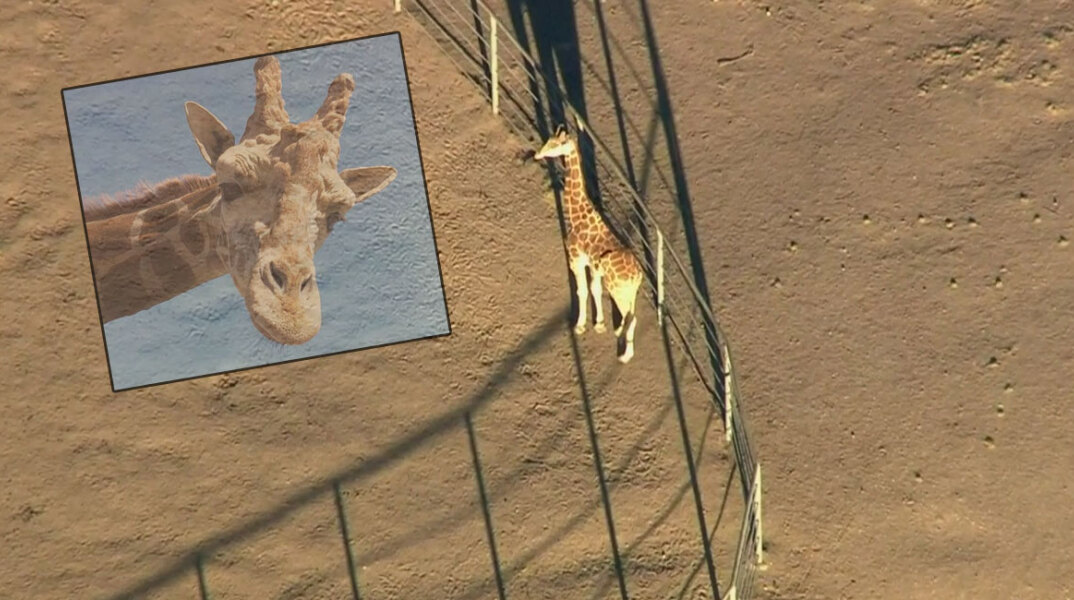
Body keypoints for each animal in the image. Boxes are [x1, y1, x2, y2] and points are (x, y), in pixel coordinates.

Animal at [534, 124, 643, 363]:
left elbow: (582, 290)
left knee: (631, 318)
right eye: (547, 140)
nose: (537, 154)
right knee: (632, 316)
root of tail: (637, 275)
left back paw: (624, 355)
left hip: (618, 290)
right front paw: (599, 324)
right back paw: (620, 336)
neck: (577, 214)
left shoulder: (576, 258)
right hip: (630, 292)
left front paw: (580, 326)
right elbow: (594, 289)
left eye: (555, 144)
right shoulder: (593, 265)